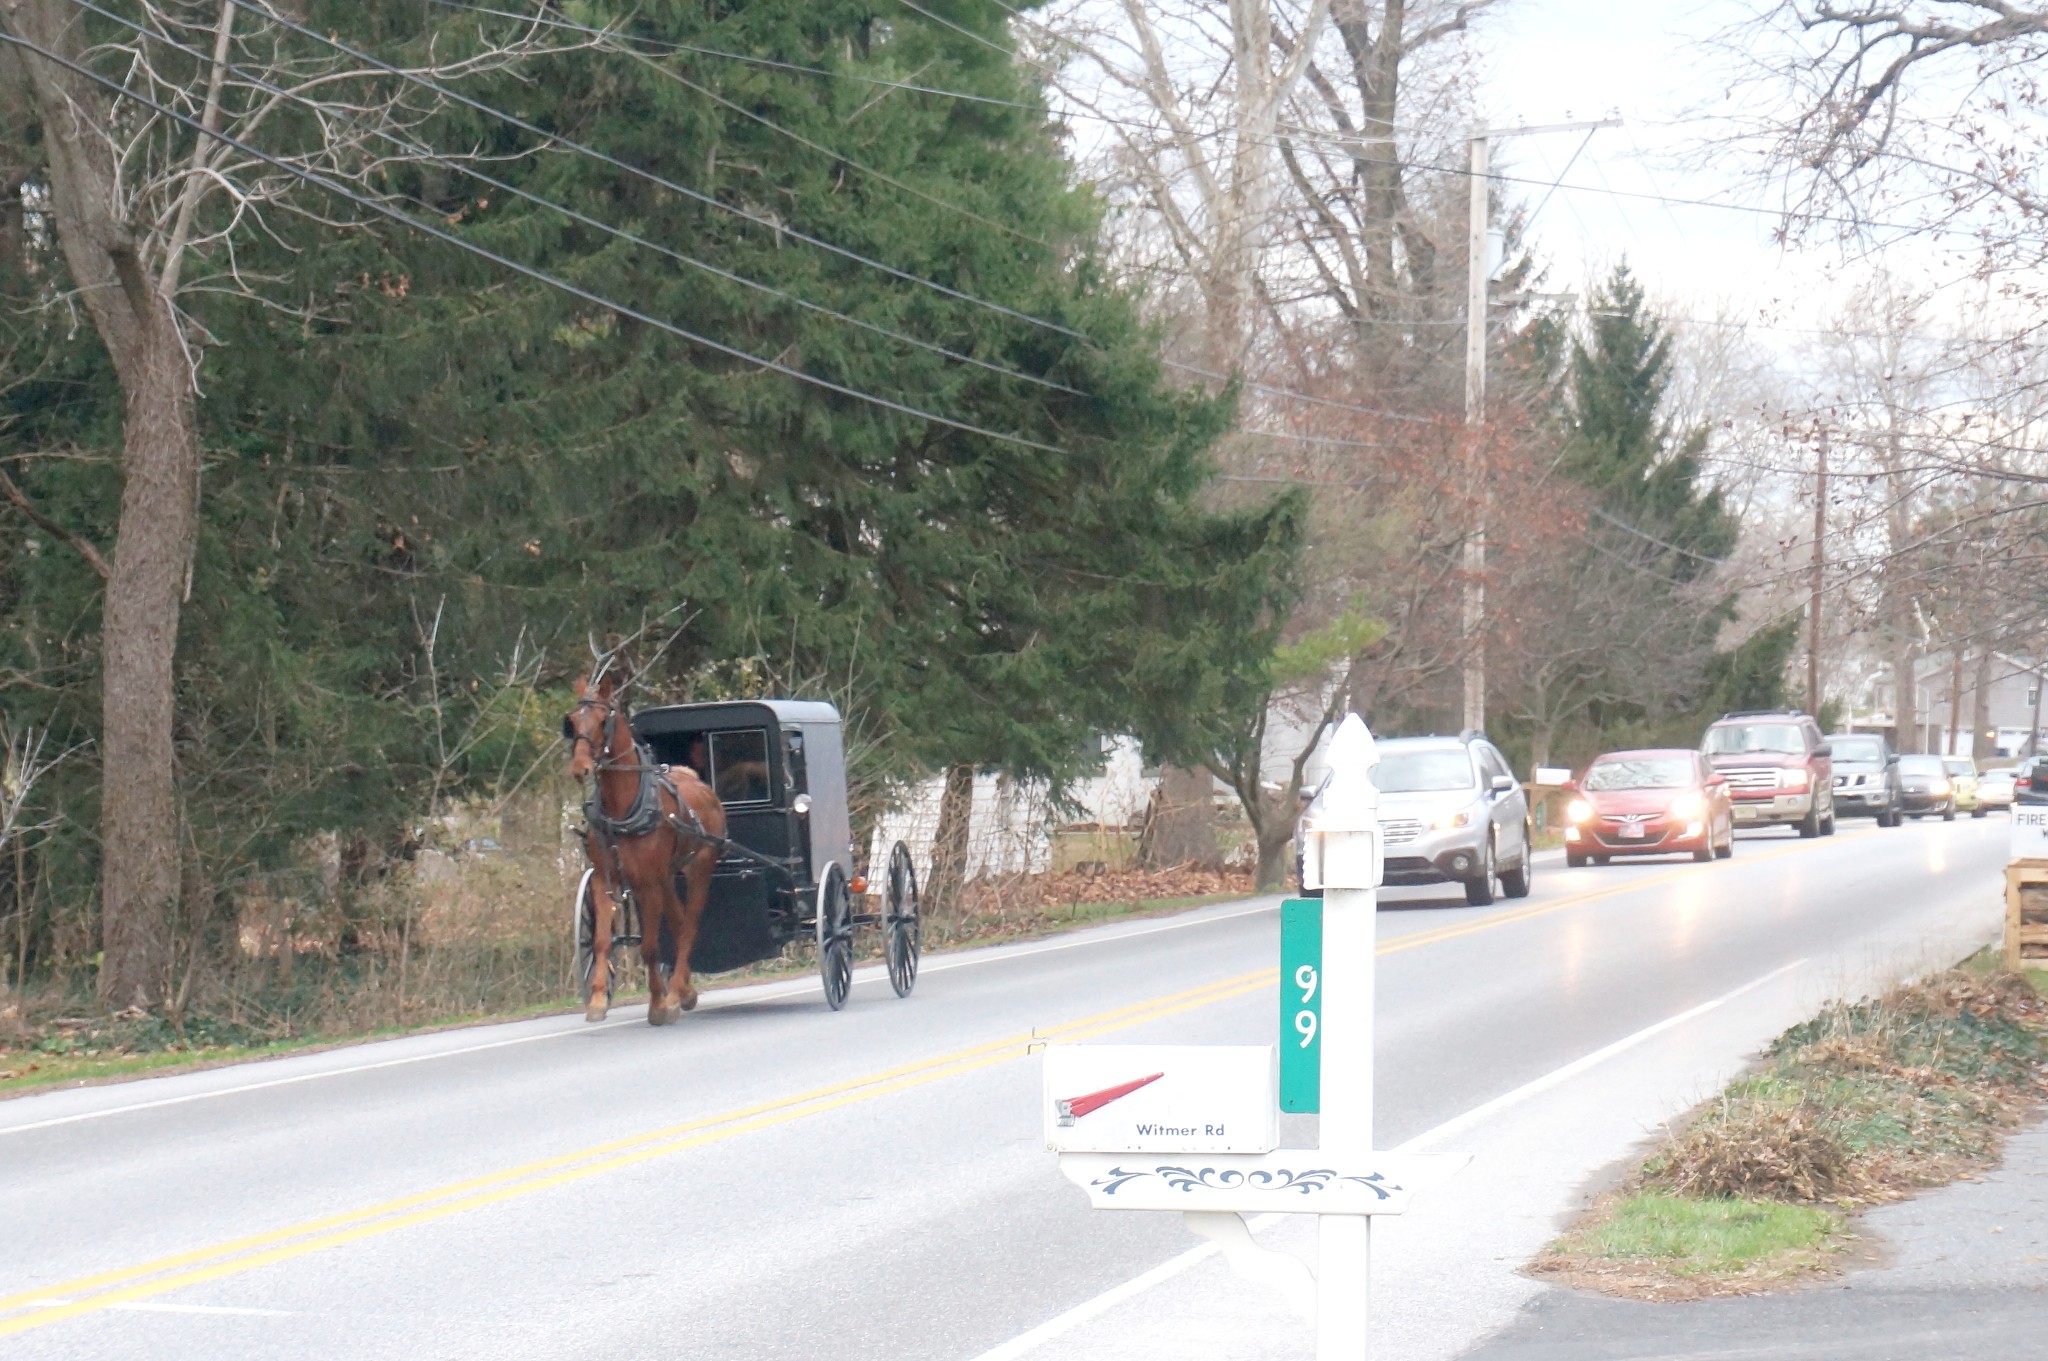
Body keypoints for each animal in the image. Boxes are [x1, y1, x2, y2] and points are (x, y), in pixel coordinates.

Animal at [569, 671, 729, 1031]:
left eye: (603, 720)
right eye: (571, 721)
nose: (580, 768)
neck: (623, 808)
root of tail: (703, 788)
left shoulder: (647, 884)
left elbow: (651, 947)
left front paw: (657, 1004)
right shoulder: (605, 879)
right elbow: (602, 941)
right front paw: (597, 1000)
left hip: (697, 870)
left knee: (689, 925)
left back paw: (675, 993)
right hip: (667, 876)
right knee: (680, 922)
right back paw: (684, 991)